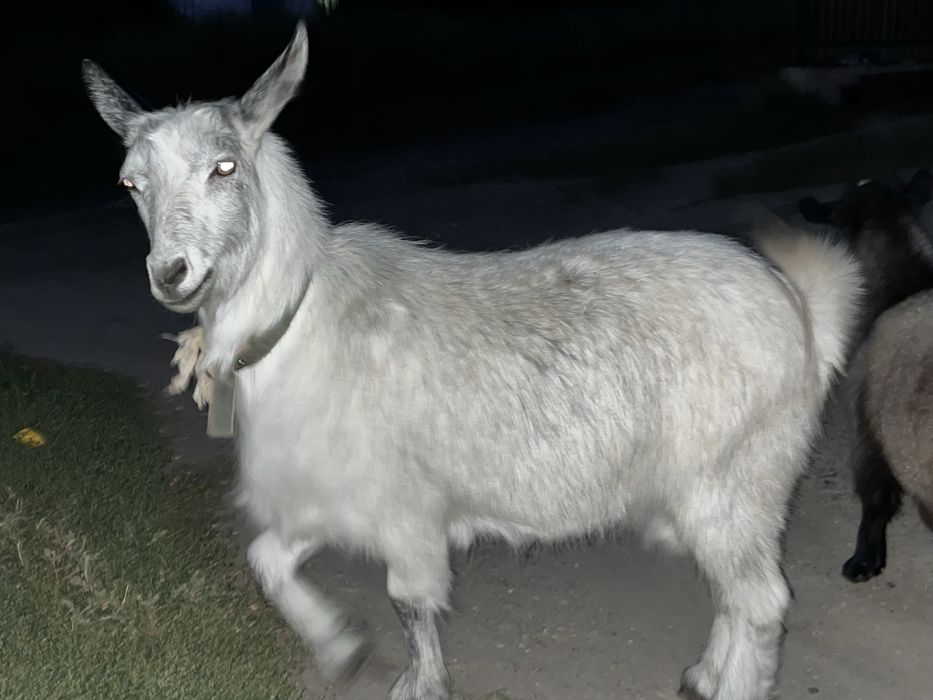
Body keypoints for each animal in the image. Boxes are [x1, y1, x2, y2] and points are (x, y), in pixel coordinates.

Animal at [83, 22, 861, 700]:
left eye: (225, 167)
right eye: (130, 183)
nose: (171, 274)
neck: (300, 315)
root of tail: (801, 312)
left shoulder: (403, 508)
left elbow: (411, 605)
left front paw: (416, 684)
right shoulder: (323, 493)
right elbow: (267, 562)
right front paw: (341, 648)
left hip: (736, 477)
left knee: (760, 600)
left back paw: (731, 684)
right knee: (737, 594)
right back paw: (704, 675)